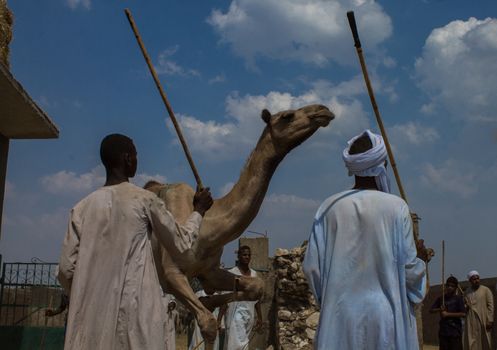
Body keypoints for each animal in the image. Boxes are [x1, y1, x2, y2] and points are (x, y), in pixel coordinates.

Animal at [146, 102, 334, 346]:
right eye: (287, 116)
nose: (323, 109)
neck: (208, 227)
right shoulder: (172, 273)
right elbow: (208, 324)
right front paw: (208, 304)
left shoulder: (209, 270)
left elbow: (255, 288)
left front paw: (210, 299)